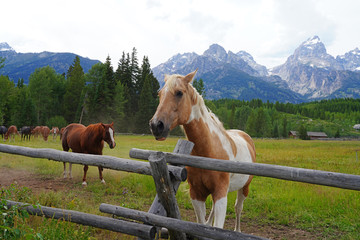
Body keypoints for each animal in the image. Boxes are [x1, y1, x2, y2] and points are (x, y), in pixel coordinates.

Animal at [149, 70, 256, 232]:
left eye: (179, 93)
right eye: (159, 94)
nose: (156, 125)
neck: (208, 152)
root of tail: (245, 136)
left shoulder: (220, 194)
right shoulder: (197, 194)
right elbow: (200, 224)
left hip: (245, 187)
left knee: (238, 208)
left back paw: (237, 230)